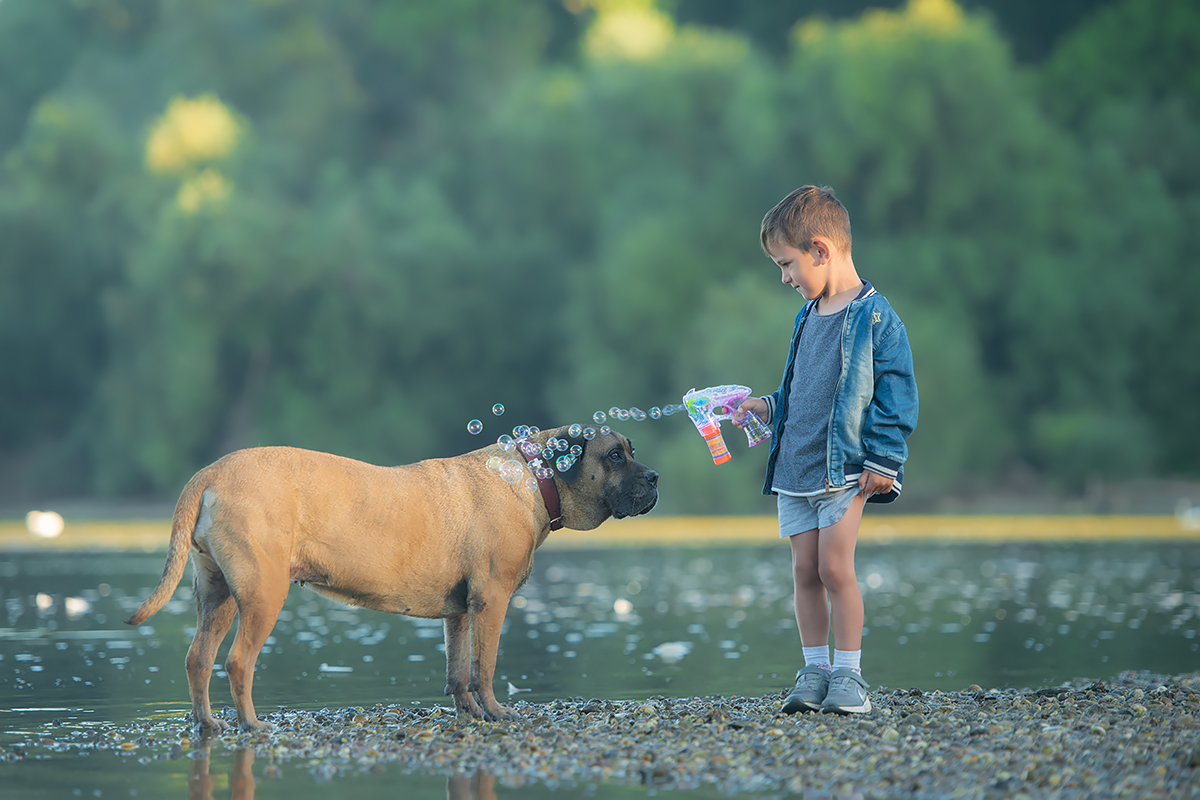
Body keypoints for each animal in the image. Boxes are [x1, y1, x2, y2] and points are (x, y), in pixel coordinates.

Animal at [126, 424, 662, 734]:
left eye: (630, 450)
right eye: (614, 456)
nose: (656, 477)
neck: (534, 477)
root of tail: (210, 472)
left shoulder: (460, 611)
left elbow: (458, 670)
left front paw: (470, 712)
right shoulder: (491, 601)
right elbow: (484, 666)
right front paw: (496, 711)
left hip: (216, 594)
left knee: (198, 659)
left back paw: (208, 725)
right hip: (262, 594)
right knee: (238, 662)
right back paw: (253, 726)